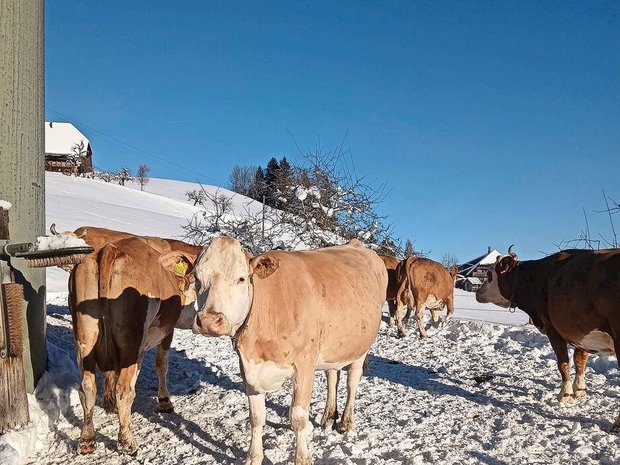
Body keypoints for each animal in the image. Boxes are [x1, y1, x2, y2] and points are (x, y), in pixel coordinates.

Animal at [66, 226, 201, 454]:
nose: (194, 318)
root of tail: (109, 250)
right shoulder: (165, 333)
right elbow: (161, 365)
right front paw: (164, 402)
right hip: (131, 340)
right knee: (123, 389)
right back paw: (127, 441)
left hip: (85, 338)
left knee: (87, 387)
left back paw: (87, 440)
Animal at [190, 237, 388, 464]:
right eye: (196, 278)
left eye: (241, 278)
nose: (208, 320)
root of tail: (356, 244)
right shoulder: (248, 367)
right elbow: (256, 417)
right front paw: (253, 457)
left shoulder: (304, 366)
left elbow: (298, 418)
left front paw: (302, 458)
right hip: (333, 346)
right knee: (332, 377)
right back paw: (328, 417)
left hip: (362, 346)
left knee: (352, 381)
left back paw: (346, 422)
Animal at [478, 246, 620, 428]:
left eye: (489, 274)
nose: (477, 292)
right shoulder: (579, 331)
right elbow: (580, 360)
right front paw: (579, 389)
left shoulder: (553, 329)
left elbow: (563, 363)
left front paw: (565, 394)